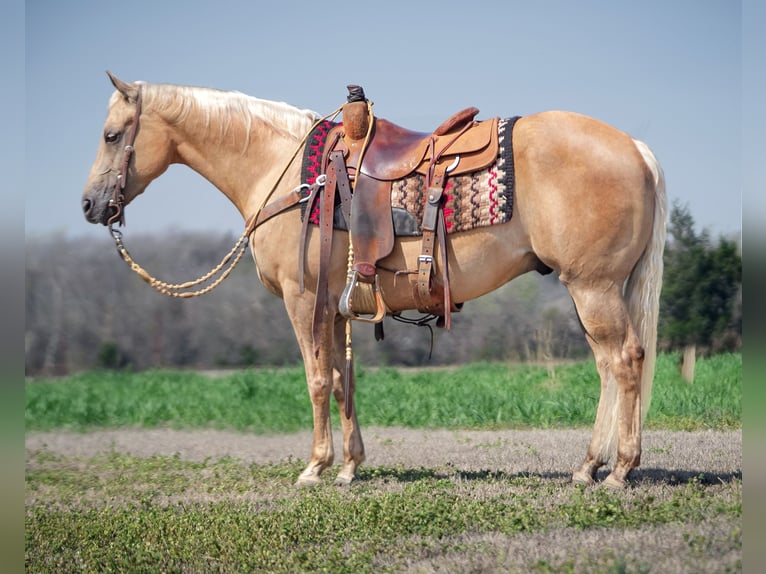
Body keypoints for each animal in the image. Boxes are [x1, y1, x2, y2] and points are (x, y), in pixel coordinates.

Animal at [82, 73, 664, 490]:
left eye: (112, 135)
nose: (90, 205)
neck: (285, 171)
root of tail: (635, 147)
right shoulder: (336, 307)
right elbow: (344, 380)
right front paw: (349, 466)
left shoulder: (303, 301)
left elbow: (317, 379)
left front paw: (315, 467)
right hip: (588, 290)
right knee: (607, 367)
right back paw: (588, 466)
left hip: (593, 287)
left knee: (625, 360)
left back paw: (619, 471)